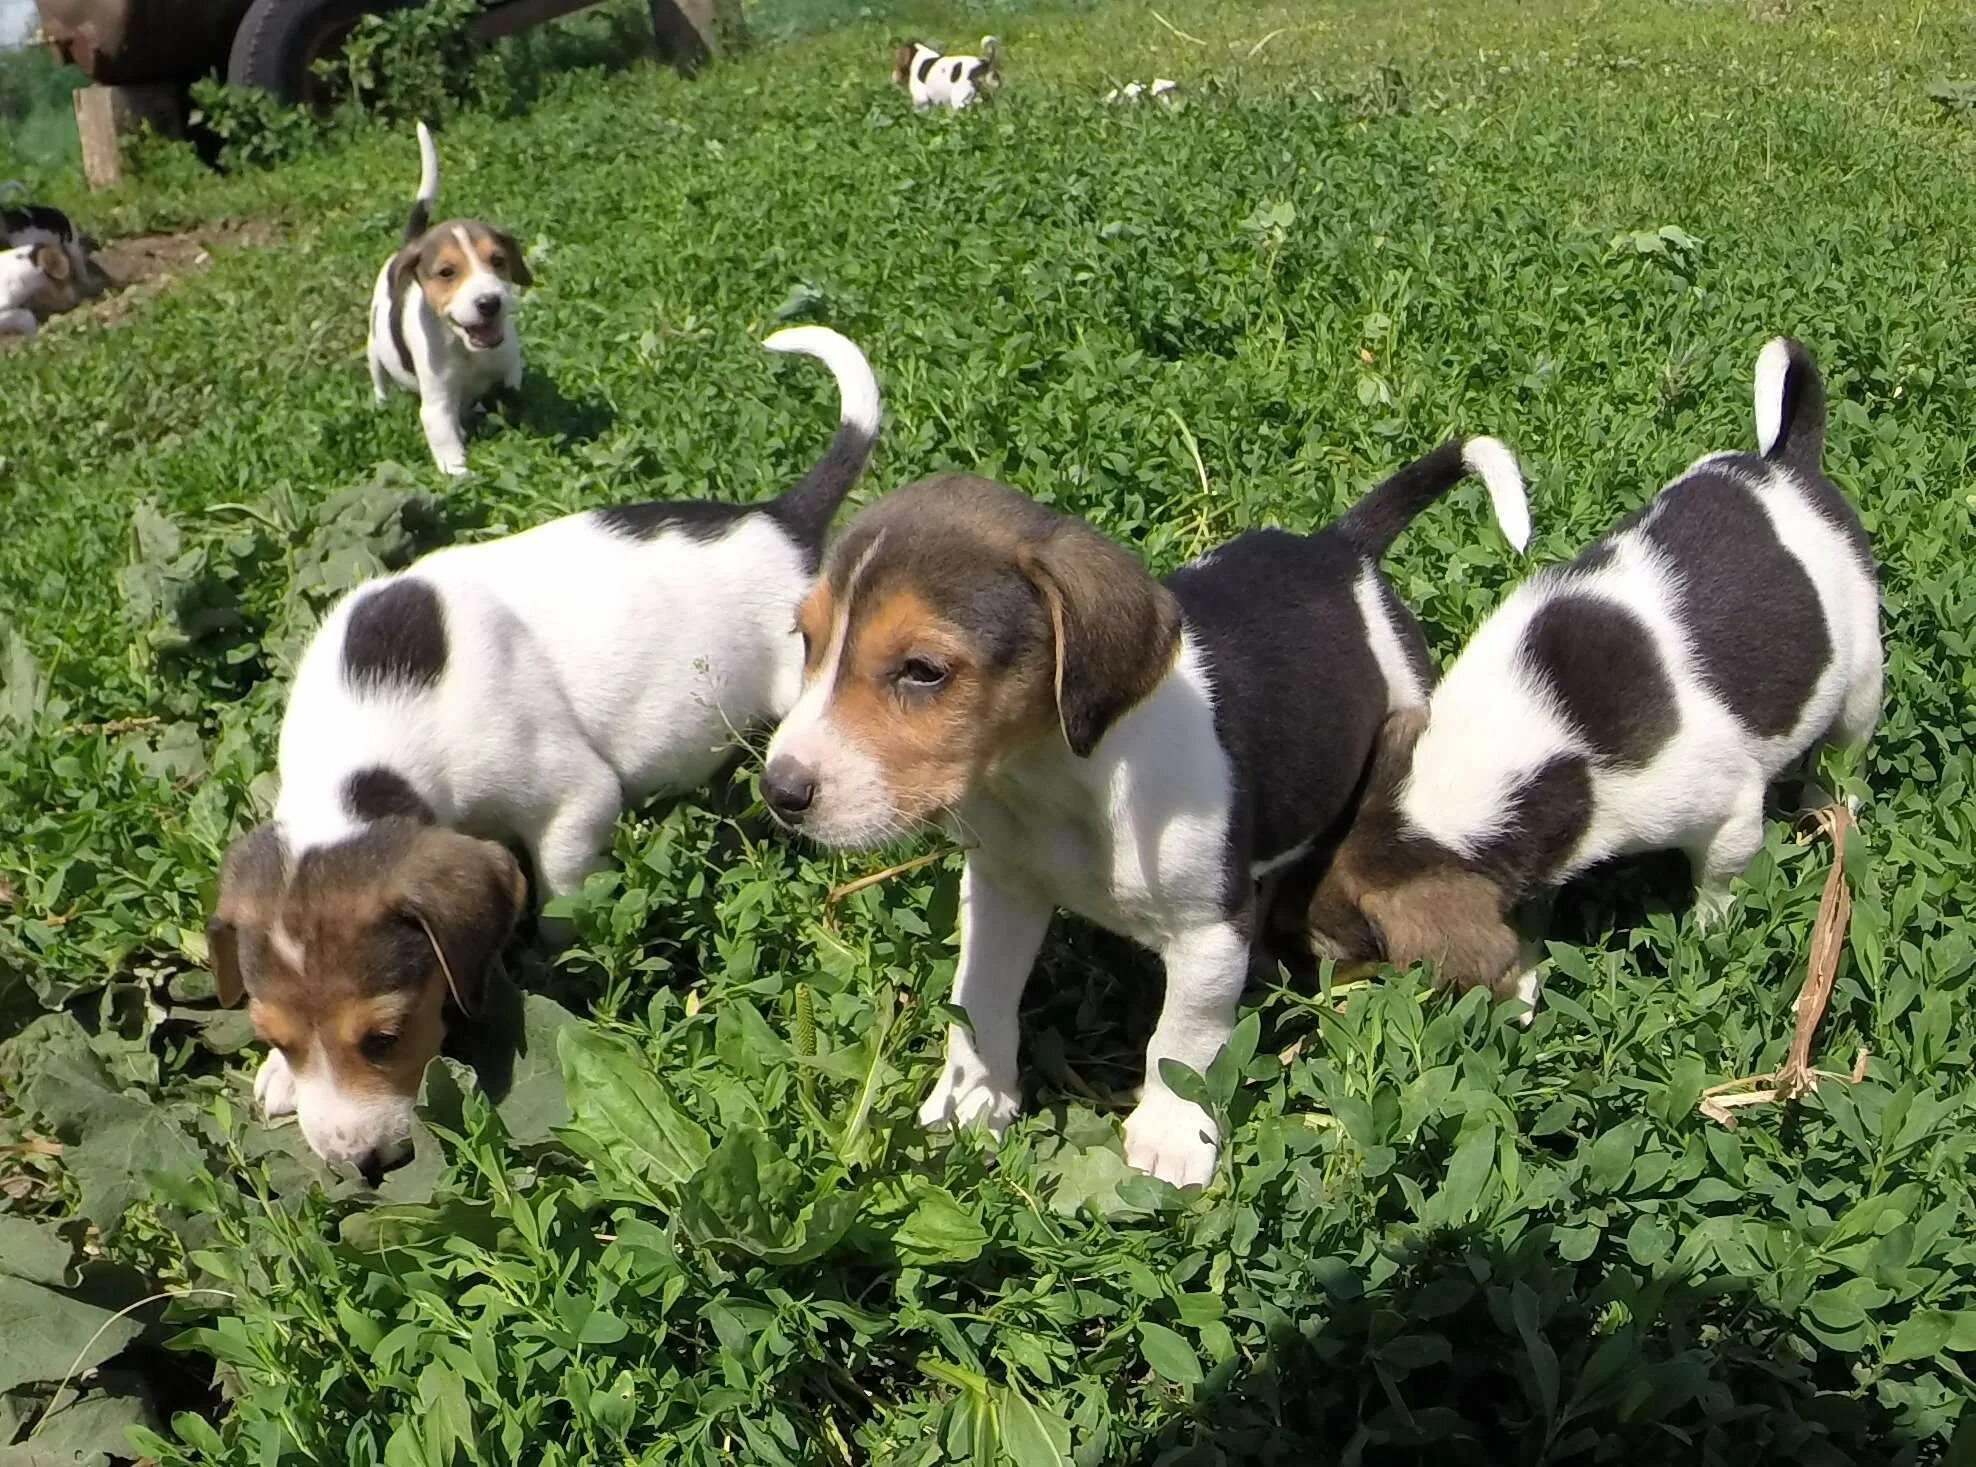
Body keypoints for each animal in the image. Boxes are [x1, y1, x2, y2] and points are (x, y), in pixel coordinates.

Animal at [204, 328, 877, 1178]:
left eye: (384, 1037)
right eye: (277, 1036)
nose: (358, 1162)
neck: (362, 751)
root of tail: (781, 520)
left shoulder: (573, 799)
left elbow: (557, 901)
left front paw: (552, 971)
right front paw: (278, 1079)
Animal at [365, 122, 533, 476]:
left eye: (498, 261)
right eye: (446, 272)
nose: (489, 303)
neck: (464, 348)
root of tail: (411, 243)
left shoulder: (510, 367)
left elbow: (510, 385)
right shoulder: (437, 405)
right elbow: (447, 445)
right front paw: (463, 478)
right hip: (374, 350)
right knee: (379, 381)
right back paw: (381, 404)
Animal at [1312, 340, 1881, 1020]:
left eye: (1343, 945)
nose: (1306, 994)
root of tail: (1788, 465)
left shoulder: (1729, 814)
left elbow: (1717, 884)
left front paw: (1706, 936)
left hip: (1861, 682)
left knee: (1846, 757)